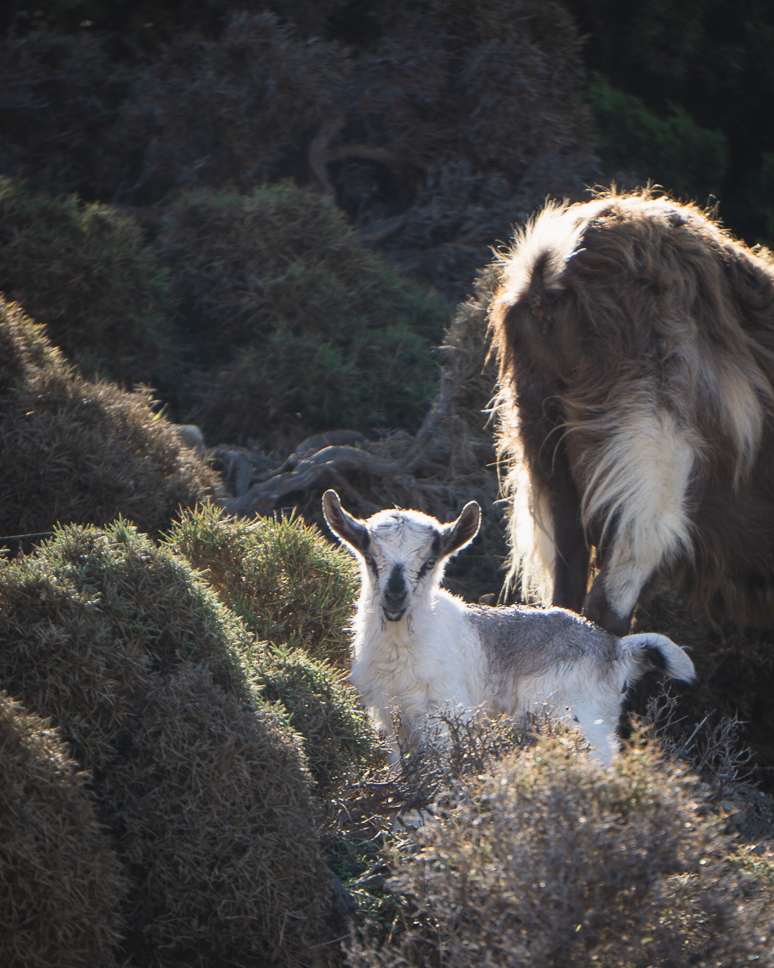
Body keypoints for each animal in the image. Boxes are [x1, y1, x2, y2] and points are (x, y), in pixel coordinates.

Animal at [322, 489, 695, 765]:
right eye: (371, 560)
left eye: (428, 563)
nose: (395, 598)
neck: (403, 647)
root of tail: (615, 648)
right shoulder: (389, 718)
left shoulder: (445, 714)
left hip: (577, 716)